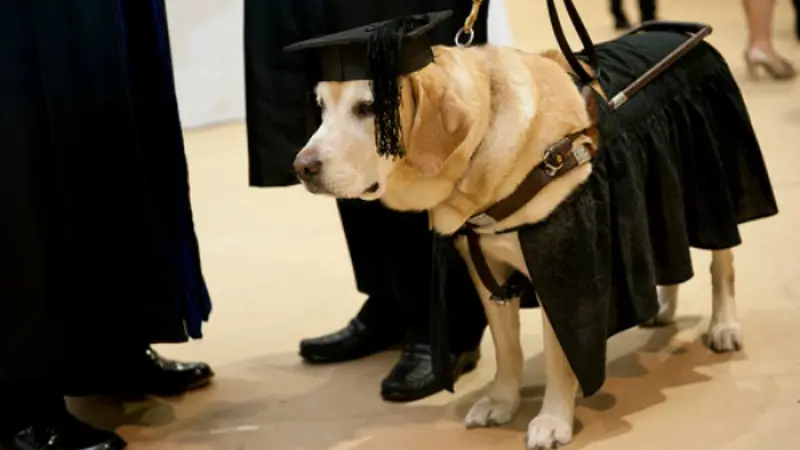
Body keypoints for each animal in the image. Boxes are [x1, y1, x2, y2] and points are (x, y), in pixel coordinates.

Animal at [292, 40, 752, 448]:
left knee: (722, 264)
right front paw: (501, 401)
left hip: (712, 178)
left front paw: (553, 420)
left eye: (368, 108)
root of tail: (681, 30)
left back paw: (724, 326)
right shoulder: (487, 274)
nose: (302, 167)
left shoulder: (562, 274)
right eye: (321, 106)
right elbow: (506, 348)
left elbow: (559, 358)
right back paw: (662, 307)